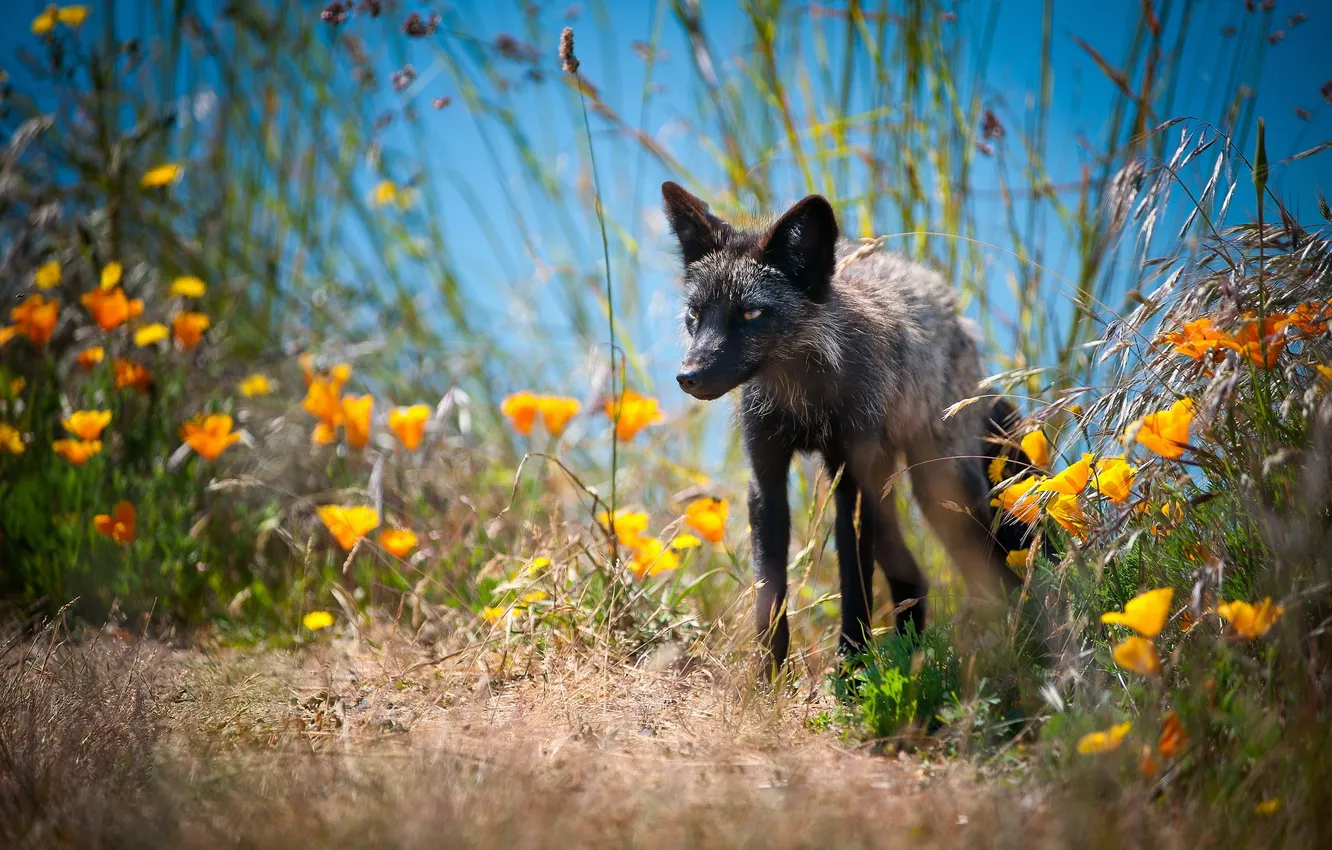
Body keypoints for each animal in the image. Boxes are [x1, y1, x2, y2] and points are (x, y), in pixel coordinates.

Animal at [662, 181, 1035, 672]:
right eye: (695, 314)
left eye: (750, 314)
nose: (688, 376)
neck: (804, 402)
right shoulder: (766, 482)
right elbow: (770, 594)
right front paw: (767, 677)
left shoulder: (851, 487)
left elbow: (854, 585)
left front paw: (852, 669)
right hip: (894, 490)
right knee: (914, 580)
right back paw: (914, 653)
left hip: (941, 491)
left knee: (1000, 569)